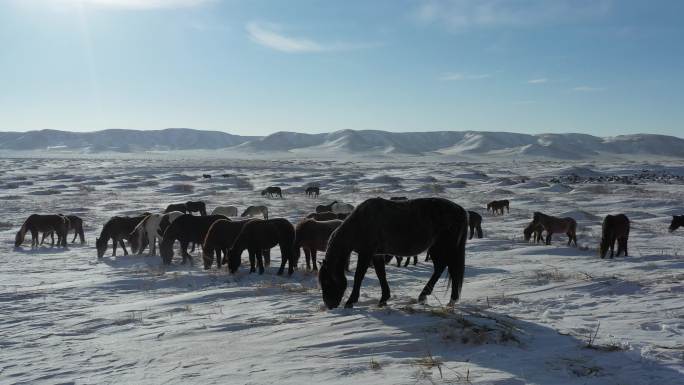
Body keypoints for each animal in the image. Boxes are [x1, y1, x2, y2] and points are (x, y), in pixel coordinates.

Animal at [318, 198, 468, 308]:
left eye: (326, 281)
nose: (329, 305)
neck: (360, 223)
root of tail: (460, 210)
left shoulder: (366, 253)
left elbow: (359, 276)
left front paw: (350, 301)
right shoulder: (377, 255)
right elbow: (381, 275)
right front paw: (384, 299)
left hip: (445, 247)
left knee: (450, 269)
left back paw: (450, 300)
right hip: (437, 248)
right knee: (441, 268)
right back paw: (425, 296)